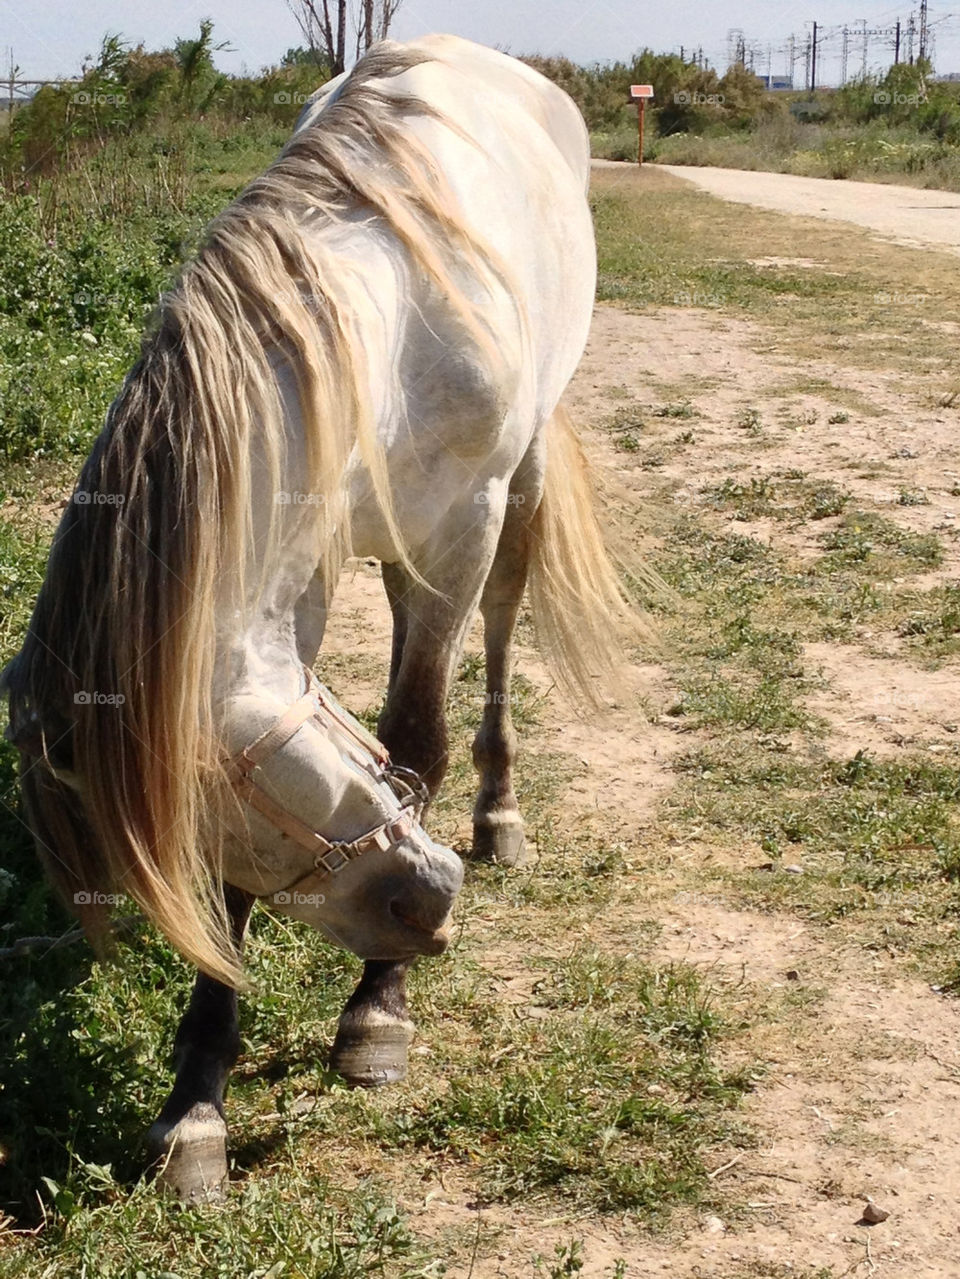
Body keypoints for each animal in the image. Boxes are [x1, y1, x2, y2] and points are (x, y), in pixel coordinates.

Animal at [1, 34, 635, 1202]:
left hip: (515, 493)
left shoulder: (459, 536)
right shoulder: (300, 573)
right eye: (195, 813)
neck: (391, 328)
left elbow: (418, 740)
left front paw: (377, 1011)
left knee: (500, 633)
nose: (422, 906)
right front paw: (195, 1103)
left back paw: (497, 819)